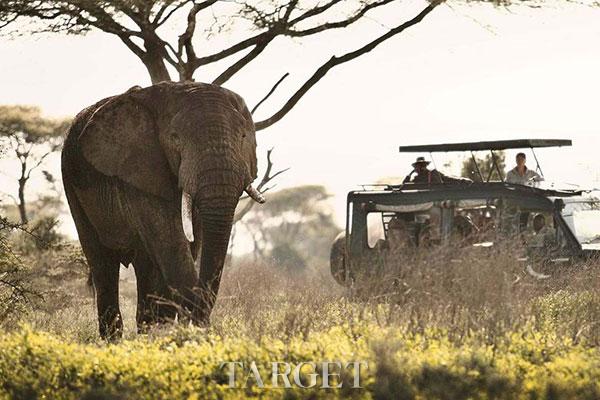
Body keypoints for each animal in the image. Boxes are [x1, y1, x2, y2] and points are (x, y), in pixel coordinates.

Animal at [61, 83, 264, 340]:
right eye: (175, 138)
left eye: (243, 137)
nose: (201, 325)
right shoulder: (140, 171)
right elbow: (170, 243)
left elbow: (189, 244)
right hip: (72, 184)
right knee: (102, 261)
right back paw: (115, 340)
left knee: (146, 266)